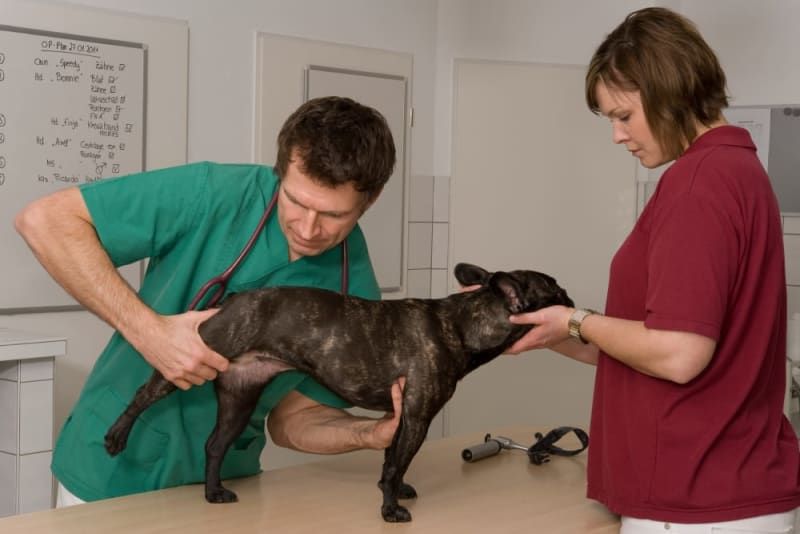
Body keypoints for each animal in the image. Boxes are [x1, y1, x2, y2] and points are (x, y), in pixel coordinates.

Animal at [104, 264, 568, 524]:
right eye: (554, 287)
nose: (569, 294)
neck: (462, 323)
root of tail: (234, 297)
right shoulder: (417, 416)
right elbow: (398, 461)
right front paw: (390, 511)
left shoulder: (403, 417)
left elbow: (391, 459)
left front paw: (392, 492)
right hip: (199, 357)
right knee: (146, 392)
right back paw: (116, 436)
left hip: (241, 396)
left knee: (215, 444)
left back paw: (213, 493)